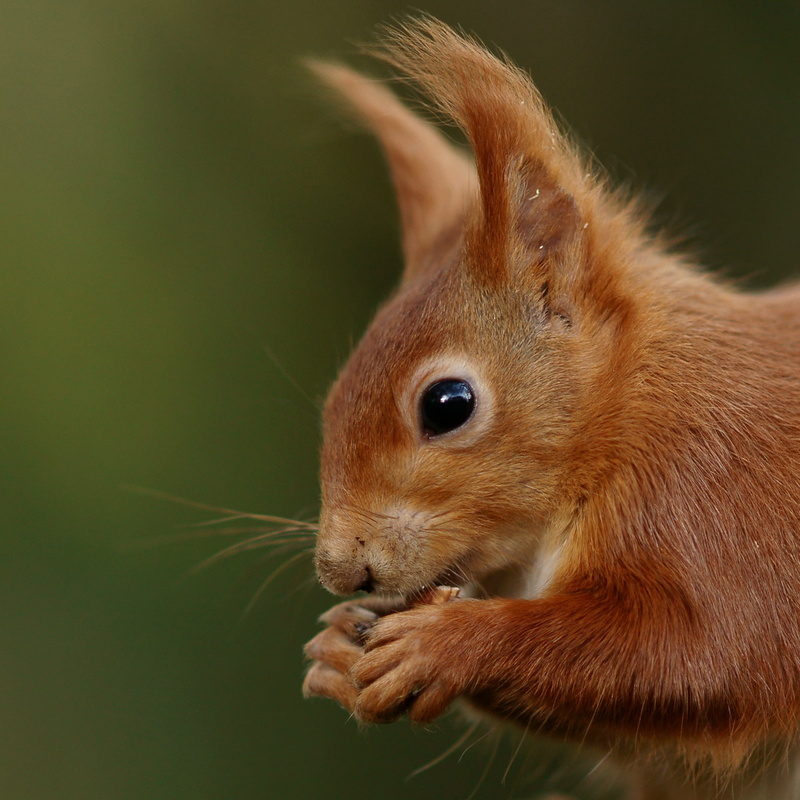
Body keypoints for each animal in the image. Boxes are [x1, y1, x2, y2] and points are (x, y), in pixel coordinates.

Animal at [301, 17, 800, 800]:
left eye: (447, 404)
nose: (343, 570)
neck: (624, 415)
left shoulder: (722, 503)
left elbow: (710, 658)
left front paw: (451, 643)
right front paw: (336, 647)